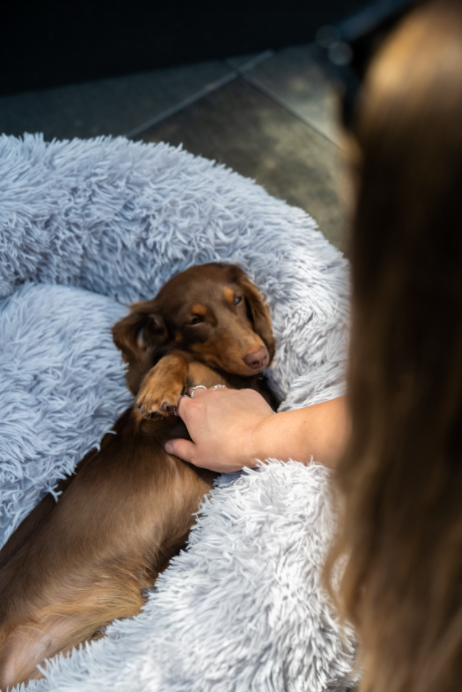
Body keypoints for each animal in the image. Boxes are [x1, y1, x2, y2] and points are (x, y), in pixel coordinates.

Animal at [0, 262, 278, 688]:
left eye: (237, 299)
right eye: (194, 319)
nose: (258, 356)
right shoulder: (146, 427)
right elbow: (174, 356)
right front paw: (157, 389)